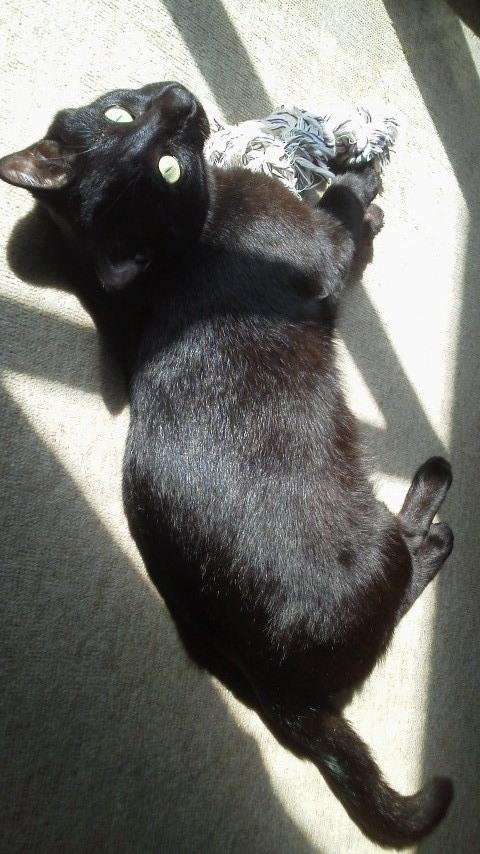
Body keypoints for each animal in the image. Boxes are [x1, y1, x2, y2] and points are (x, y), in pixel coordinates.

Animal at [0, 81, 454, 847]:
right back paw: (431, 517)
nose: (181, 104)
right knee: (396, 595)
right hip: (371, 550)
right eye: (166, 170)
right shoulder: (324, 247)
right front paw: (359, 175)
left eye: (121, 113)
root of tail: (272, 680)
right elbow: (342, 212)